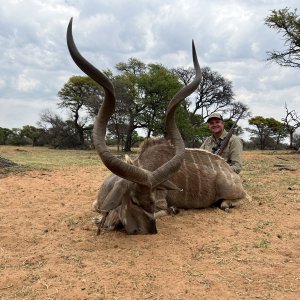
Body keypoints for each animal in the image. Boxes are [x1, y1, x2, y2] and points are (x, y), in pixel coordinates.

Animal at [67, 18, 247, 234]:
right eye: (134, 201)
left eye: (152, 201)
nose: (148, 230)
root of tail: (231, 174)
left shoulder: (161, 206)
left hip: (234, 193)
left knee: (239, 199)